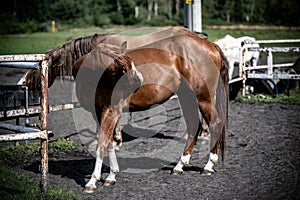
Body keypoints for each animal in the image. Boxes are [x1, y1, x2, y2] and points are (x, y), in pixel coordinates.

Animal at [22, 27, 229, 194]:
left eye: (37, 68)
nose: (23, 81)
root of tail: (210, 45)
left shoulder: (111, 111)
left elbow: (102, 144)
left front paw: (92, 182)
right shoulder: (99, 113)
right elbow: (109, 143)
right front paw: (111, 176)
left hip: (203, 97)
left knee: (215, 123)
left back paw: (208, 165)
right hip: (187, 97)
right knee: (194, 125)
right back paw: (179, 166)